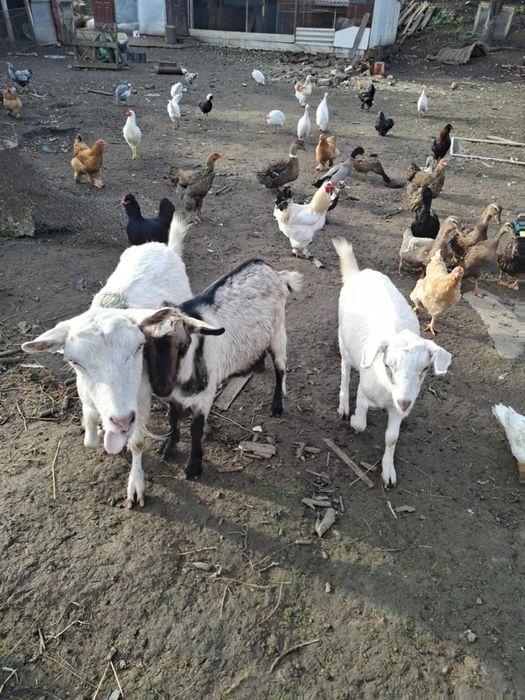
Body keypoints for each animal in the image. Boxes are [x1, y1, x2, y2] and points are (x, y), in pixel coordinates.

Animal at [22, 214, 192, 508]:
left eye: (139, 348)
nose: (122, 420)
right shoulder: (87, 396)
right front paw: (98, 432)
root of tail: (161, 246)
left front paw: (135, 486)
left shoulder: (141, 398)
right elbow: (89, 437)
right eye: (74, 362)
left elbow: (137, 443)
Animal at [140, 259, 303, 480]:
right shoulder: (174, 397)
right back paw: (256, 365)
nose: (161, 387)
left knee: (280, 368)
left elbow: (196, 429)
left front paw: (193, 467)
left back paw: (277, 405)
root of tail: (273, 272)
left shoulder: (205, 396)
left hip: (278, 333)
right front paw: (168, 445)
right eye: (144, 346)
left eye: (184, 345)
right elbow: (172, 418)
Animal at [332, 236, 452, 487]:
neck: (387, 392)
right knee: (345, 370)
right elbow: (361, 421)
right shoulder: (365, 389)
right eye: (387, 365)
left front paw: (388, 471)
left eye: (424, 369)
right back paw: (344, 405)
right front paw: (355, 419)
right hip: (343, 340)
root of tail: (360, 272)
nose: (405, 403)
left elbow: (391, 438)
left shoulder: (398, 408)